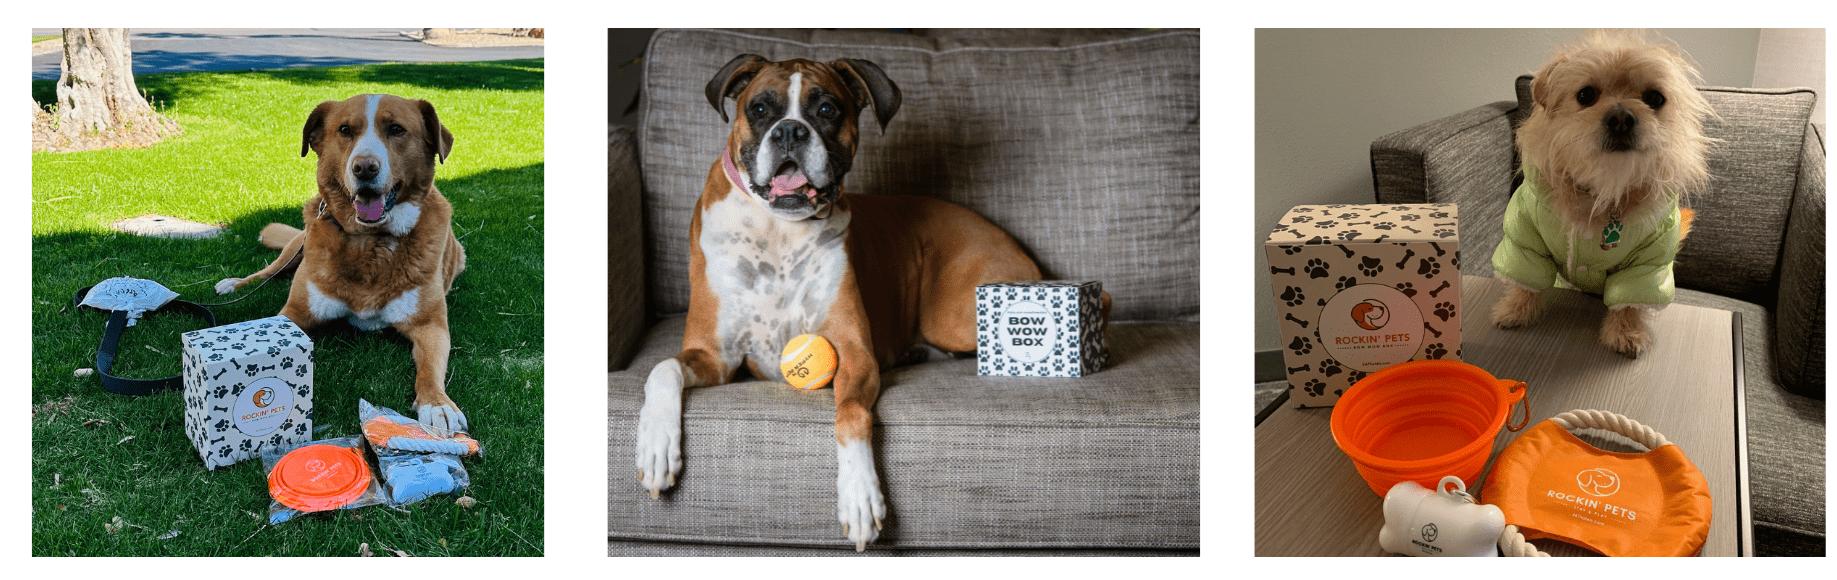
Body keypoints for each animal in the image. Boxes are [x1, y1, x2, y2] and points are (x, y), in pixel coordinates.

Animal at [214, 94, 466, 431]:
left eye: (396, 129)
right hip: (297, 246)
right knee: (269, 270)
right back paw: (234, 283)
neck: (369, 242)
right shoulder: (294, 313)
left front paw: (437, 403)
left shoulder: (430, 325)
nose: (364, 168)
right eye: (345, 130)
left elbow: (429, 369)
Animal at [631, 55, 1102, 554]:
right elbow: (662, 367)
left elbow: (851, 414)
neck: (779, 229)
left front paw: (859, 496)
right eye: (759, 109)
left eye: (826, 109)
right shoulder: (714, 356)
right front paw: (656, 445)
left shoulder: (854, 354)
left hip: (955, 317)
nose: (790, 131)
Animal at [1491, 31, 1704, 359]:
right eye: (1586, 95)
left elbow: (1629, 301)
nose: (1621, 118)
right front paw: (1515, 309)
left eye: (1655, 98)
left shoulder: (1647, 266)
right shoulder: (1524, 238)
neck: (1604, 189)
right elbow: (1525, 279)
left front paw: (1626, 331)